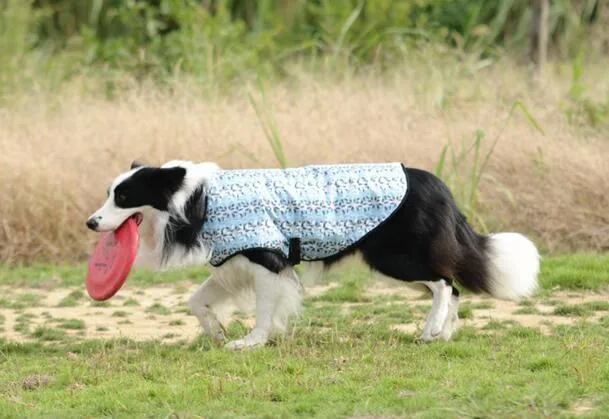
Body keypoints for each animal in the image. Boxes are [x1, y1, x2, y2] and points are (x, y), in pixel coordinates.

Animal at [86, 159, 540, 350]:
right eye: (109, 193)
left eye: (123, 197)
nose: (91, 222)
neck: (197, 197)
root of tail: (438, 186)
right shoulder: (234, 259)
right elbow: (196, 301)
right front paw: (217, 332)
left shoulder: (266, 259)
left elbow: (265, 309)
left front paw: (250, 341)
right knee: (454, 285)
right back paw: (444, 333)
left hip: (393, 257)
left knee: (445, 282)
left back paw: (430, 330)